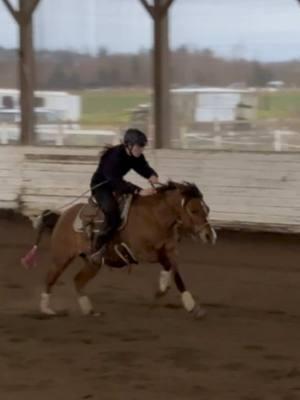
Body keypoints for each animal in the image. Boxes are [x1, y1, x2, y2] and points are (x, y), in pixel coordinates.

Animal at [22, 181, 217, 318]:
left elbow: (176, 273)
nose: (210, 236)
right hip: (61, 257)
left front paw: (191, 305)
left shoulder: (170, 251)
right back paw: (46, 309)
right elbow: (166, 265)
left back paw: (89, 310)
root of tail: (62, 216)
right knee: (50, 279)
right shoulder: (143, 252)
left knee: (78, 280)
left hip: (93, 262)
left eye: (207, 209)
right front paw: (162, 286)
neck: (154, 217)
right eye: (194, 210)